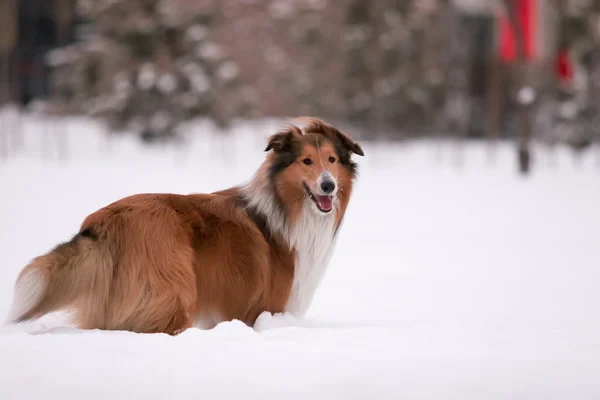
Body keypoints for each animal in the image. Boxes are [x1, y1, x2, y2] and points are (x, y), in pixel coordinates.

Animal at [5, 116, 366, 334]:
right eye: (306, 161)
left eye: (332, 160)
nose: (328, 186)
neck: (289, 209)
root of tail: (106, 219)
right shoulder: (268, 310)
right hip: (172, 292)